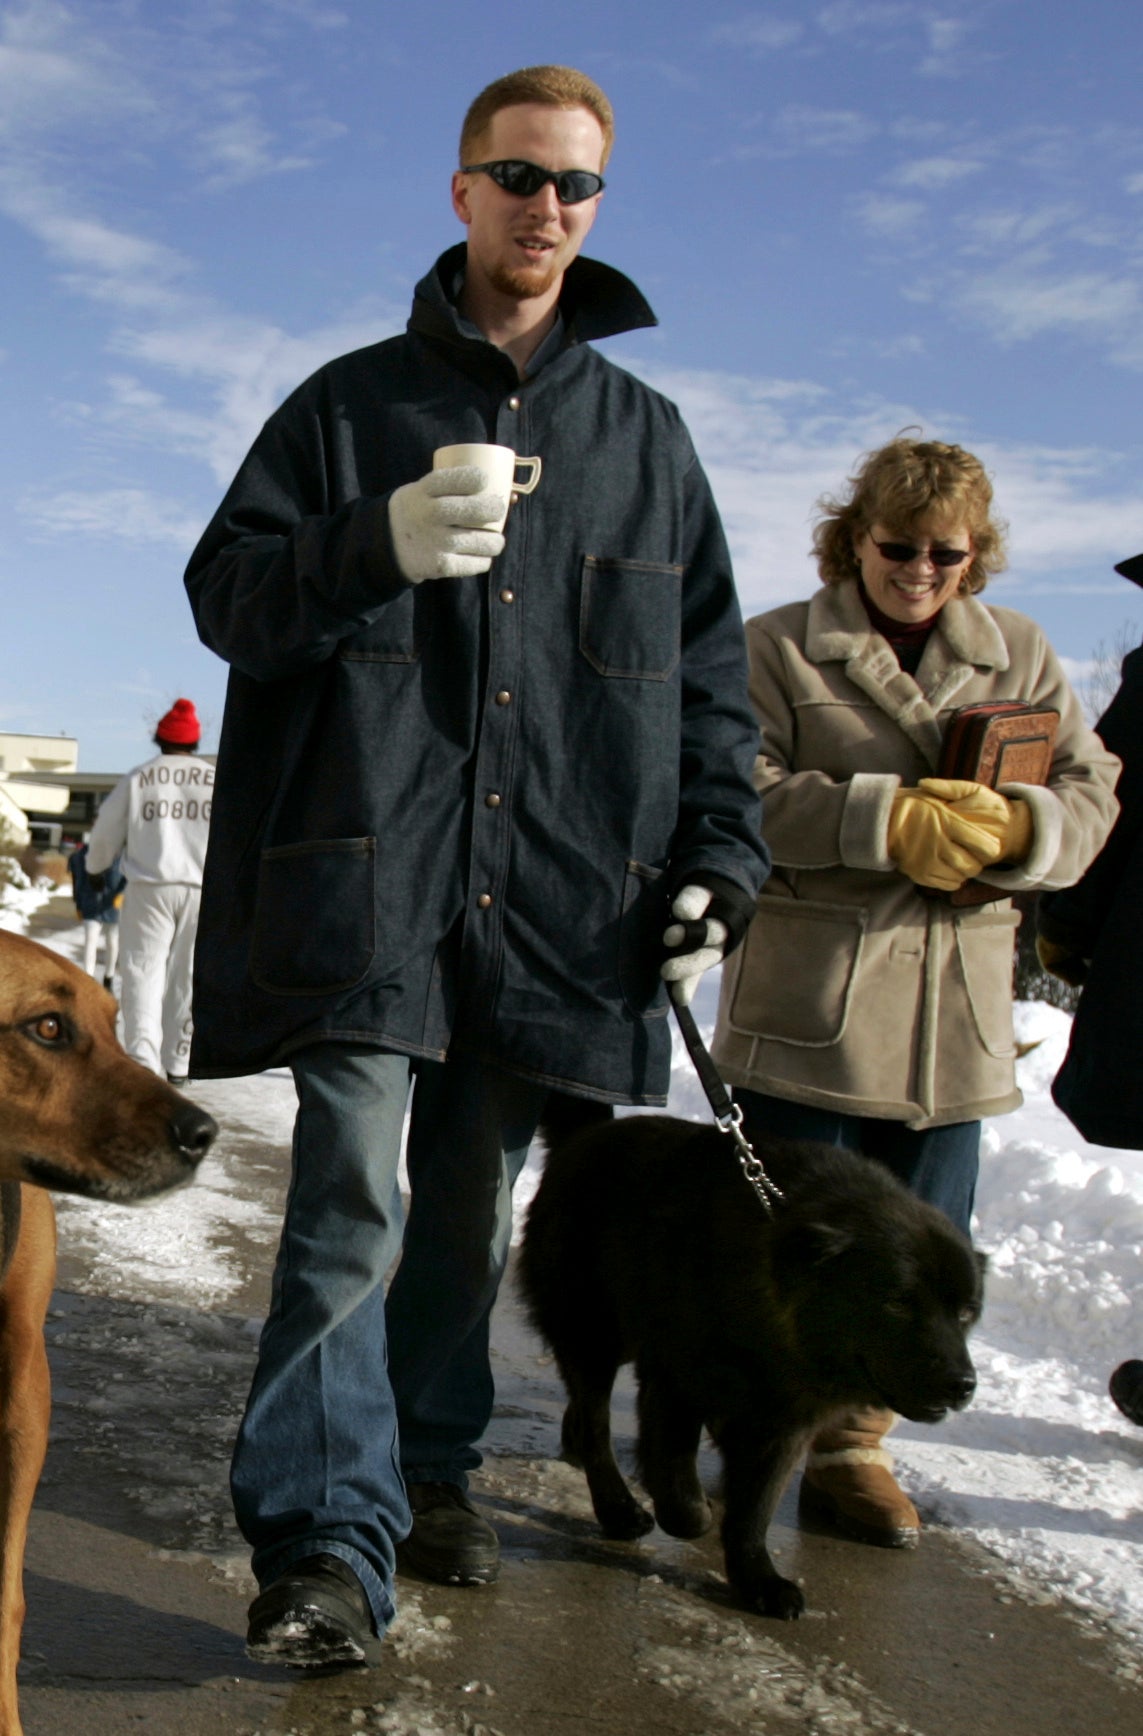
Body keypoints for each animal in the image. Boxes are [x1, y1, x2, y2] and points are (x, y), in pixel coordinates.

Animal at [517, 1104, 979, 1617]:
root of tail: (586, 1135)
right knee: (596, 1427)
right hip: (593, 1333)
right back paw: (619, 1508)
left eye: (966, 1313)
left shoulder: (787, 1421)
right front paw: (695, 1515)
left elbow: (755, 1510)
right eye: (899, 1302)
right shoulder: (676, 1383)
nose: (963, 1383)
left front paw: (758, 1581)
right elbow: (682, 1493)